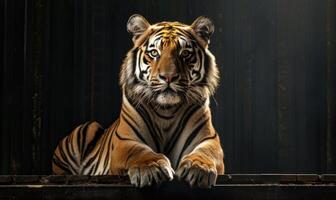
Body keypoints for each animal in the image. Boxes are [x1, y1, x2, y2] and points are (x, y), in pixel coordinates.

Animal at [52, 14, 224, 188]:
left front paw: (199, 167)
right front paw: (151, 168)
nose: (168, 77)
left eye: (185, 53)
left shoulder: (208, 139)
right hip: (85, 129)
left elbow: (206, 152)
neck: (166, 110)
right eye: (154, 53)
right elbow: (138, 151)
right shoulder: (126, 140)